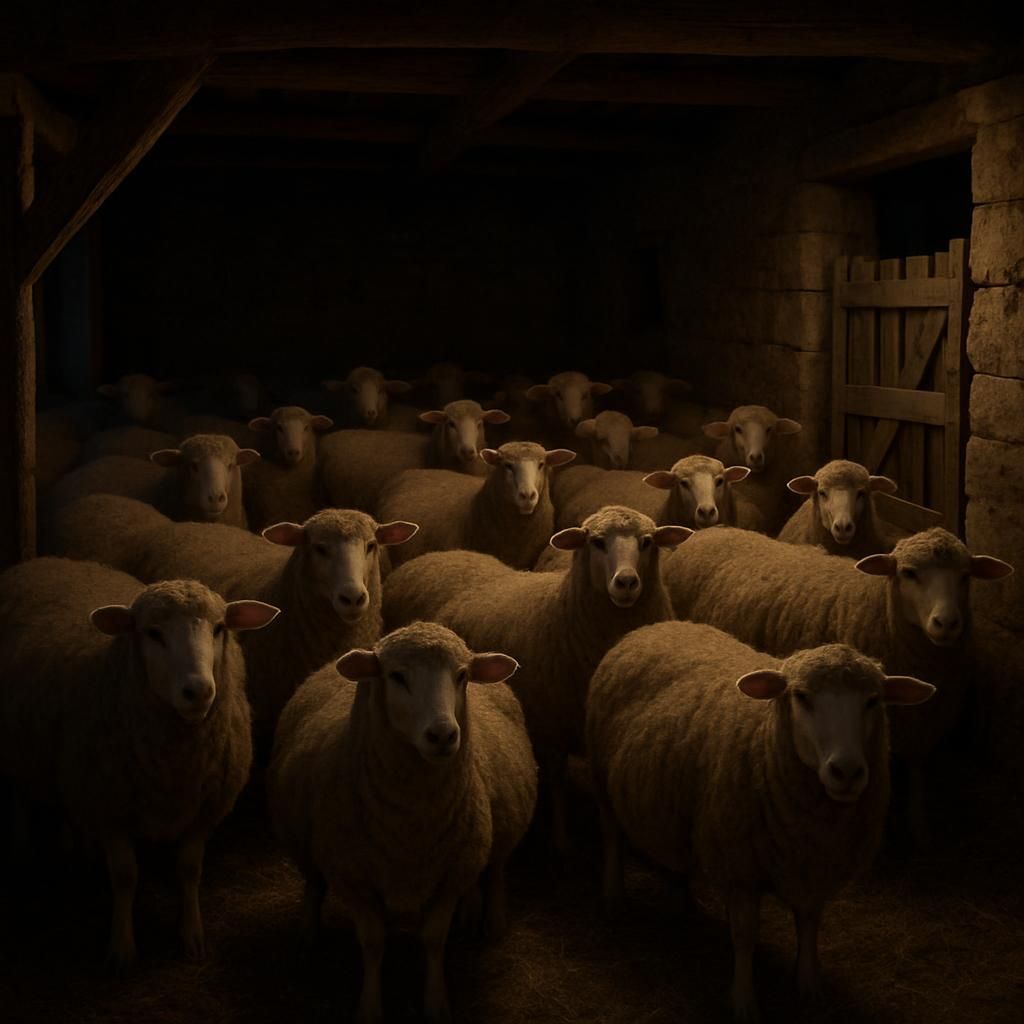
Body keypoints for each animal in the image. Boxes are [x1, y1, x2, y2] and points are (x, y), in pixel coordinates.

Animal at [0, 556, 279, 971]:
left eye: (219, 628)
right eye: (153, 633)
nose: (199, 691)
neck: (175, 762)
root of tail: (45, 559)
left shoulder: (202, 809)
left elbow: (189, 871)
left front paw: (191, 936)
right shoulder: (109, 807)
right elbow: (125, 877)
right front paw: (122, 947)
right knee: (20, 793)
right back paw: (23, 844)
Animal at [268, 621, 536, 1023]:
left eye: (462, 676)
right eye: (396, 676)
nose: (443, 735)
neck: (411, 826)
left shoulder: (451, 872)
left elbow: (434, 939)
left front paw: (436, 1002)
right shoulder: (354, 877)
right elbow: (373, 943)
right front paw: (370, 1007)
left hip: (496, 830)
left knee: (495, 871)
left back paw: (489, 919)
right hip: (306, 840)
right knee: (314, 882)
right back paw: (308, 933)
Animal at [383, 505, 691, 853]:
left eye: (647, 542)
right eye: (597, 542)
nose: (626, 582)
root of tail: (444, 556)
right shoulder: (550, 724)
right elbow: (556, 781)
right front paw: (561, 837)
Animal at [586, 621, 935, 1021]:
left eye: (873, 700)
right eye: (801, 696)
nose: (846, 772)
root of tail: (655, 625)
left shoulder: (815, 868)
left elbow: (809, 923)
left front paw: (809, 982)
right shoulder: (740, 869)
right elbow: (744, 937)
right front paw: (743, 999)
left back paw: (683, 898)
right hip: (602, 778)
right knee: (611, 835)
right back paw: (614, 894)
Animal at [659, 526, 1014, 844]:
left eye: (966, 576)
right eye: (909, 573)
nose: (947, 623)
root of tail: (707, 530)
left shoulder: (923, 721)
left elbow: (917, 769)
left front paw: (919, 826)